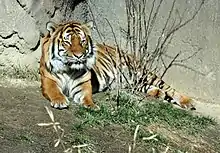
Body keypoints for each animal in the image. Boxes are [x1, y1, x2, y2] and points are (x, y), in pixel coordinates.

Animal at [38, 20, 195, 110]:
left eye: (82, 41)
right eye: (67, 42)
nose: (79, 55)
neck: (69, 69)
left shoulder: (83, 84)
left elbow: (87, 96)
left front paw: (92, 106)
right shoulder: (49, 80)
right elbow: (54, 91)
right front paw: (60, 101)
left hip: (144, 74)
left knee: (169, 88)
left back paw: (188, 102)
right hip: (137, 82)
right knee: (155, 89)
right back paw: (157, 93)